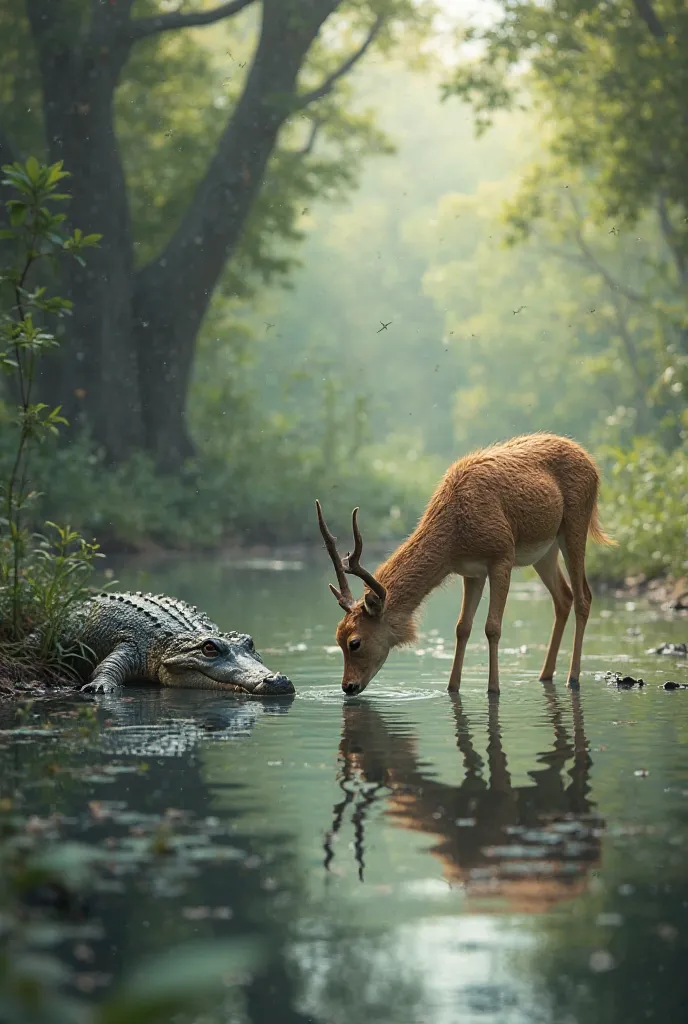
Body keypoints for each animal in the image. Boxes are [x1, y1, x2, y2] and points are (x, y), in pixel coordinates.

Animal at [317, 432, 614, 696]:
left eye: (355, 642)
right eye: (337, 637)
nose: (347, 687)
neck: (455, 536)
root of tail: (592, 462)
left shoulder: (501, 556)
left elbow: (492, 627)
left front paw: (493, 689)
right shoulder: (471, 571)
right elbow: (462, 627)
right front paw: (452, 687)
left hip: (575, 523)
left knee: (583, 597)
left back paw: (572, 678)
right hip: (545, 551)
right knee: (563, 597)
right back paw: (545, 675)